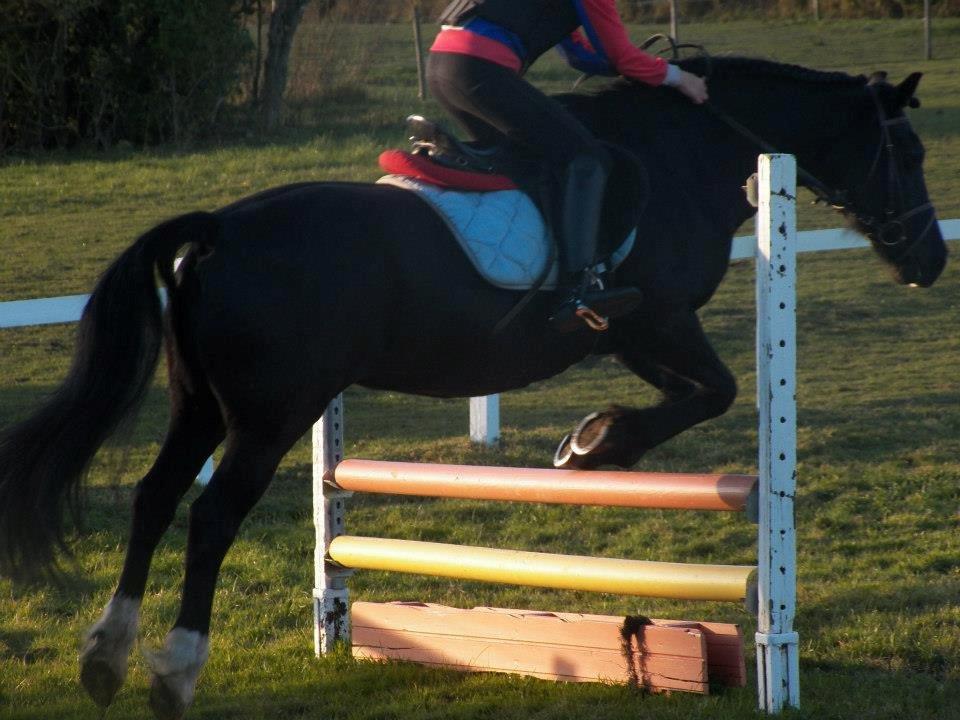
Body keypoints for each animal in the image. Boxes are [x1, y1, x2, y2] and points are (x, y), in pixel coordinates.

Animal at [0, 57, 947, 719]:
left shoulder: (639, 334)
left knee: (156, 497)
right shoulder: (653, 320)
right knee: (210, 515)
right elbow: (712, 391)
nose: (931, 260)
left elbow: (698, 393)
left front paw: (591, 441)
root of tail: (219, 228)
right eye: (907, 151)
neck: (688, 153)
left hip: (201, 406)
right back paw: (175, 670)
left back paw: (104, 657)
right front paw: (593, 447)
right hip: (272, 414)